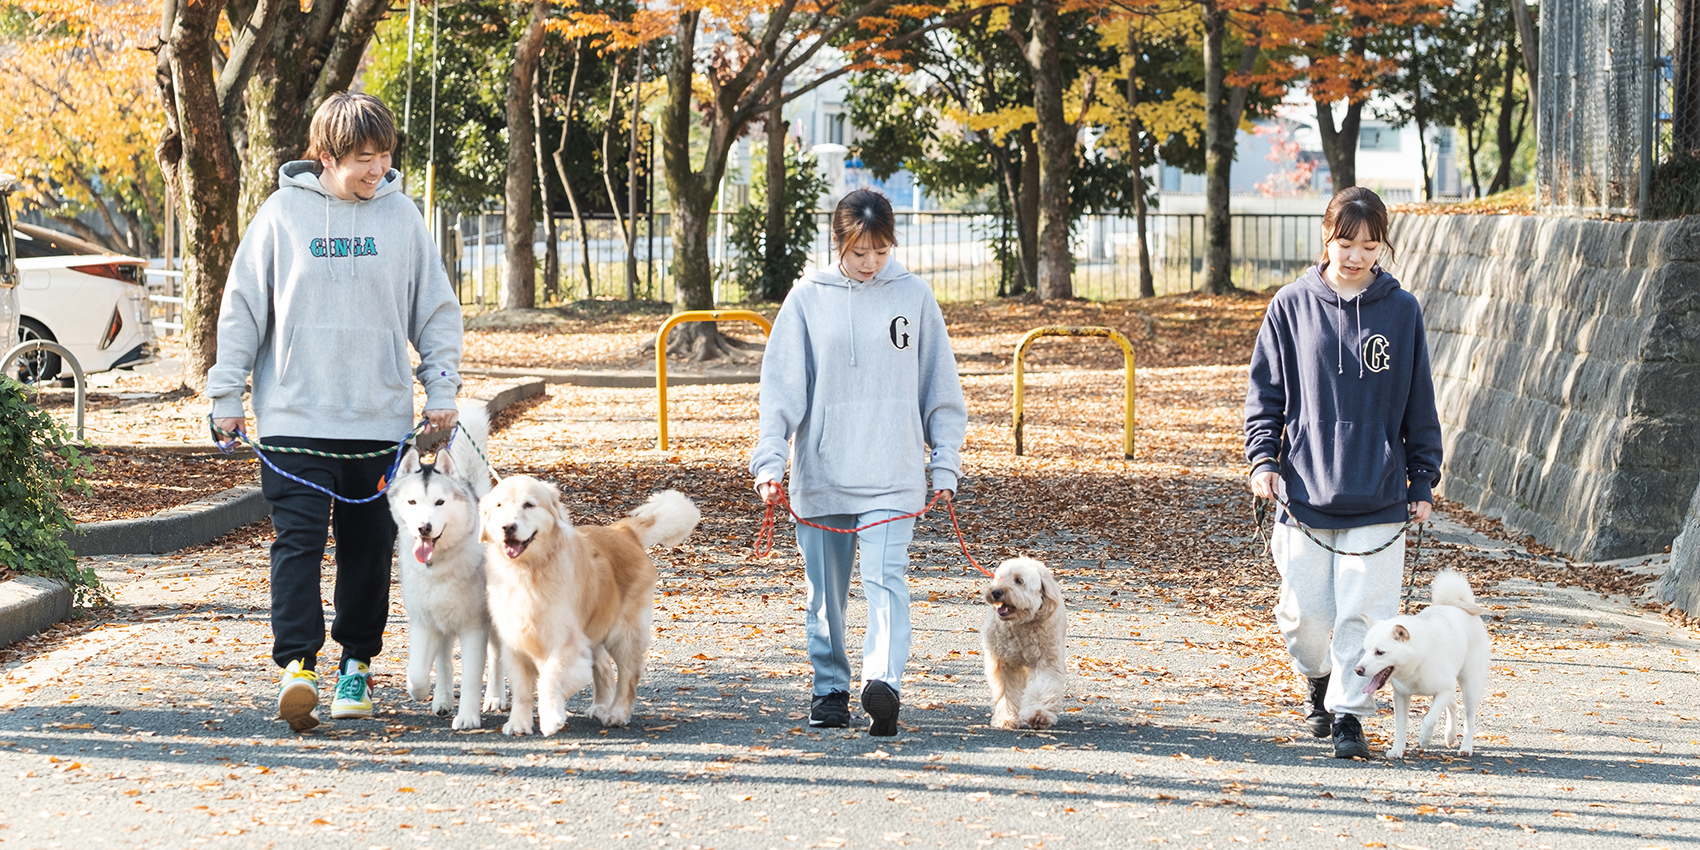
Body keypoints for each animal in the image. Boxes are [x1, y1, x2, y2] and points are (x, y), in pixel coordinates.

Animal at [479, 479, 697, 737]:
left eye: (529, 505)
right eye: (499, 505)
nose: (508, 527)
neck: (528, 570)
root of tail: (623, 531)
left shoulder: (567, 641)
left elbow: (549, 678)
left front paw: (551, 718)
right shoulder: (515, 641)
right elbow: (522, 688)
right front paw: (518, 723)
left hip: (624, 633)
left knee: (628, 676)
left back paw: (616, 713)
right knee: (604, 668)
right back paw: (600, 706)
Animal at [986, 557, 1060, 731]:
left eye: (1019, 581)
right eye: (999, 578)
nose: (996, 592)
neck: (1021, 624)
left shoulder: (1046, 662)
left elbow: (1042, 687)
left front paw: (1039, 714)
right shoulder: (1005, 664)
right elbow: (1008, 692)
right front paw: (1006, 718)